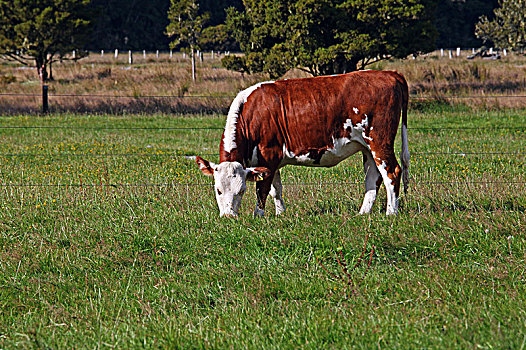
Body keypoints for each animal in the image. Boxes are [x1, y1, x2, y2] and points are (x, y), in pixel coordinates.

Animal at [196, 69, 410, 216]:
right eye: (218, 190)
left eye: (241, 191)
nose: (229, 216)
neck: (253, 113)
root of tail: (389, 73)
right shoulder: (271, 162)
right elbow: (275, 189)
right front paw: (280, 214)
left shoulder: (269, 155)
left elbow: (262, 189)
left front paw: (259, 216)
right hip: (367, 147)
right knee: (373, 178)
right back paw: (363, 213)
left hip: (379, 141)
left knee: (391, 172)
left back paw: (391, 213)